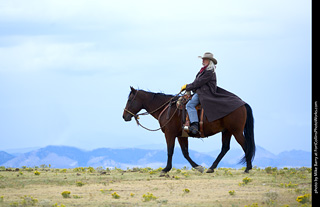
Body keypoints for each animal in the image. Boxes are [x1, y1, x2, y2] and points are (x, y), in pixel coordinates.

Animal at [122, 86, 255, 174]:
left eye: (129, 100)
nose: (124, 116)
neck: (167, 109)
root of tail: (242, 103)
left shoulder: (170, 134)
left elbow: (170, 151)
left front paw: (165, 169)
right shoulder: (181, 135)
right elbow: (185, 153)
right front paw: (198, 167)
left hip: (236, 131)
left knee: (245, 146)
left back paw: (247, 168)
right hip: (227, 131)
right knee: (225, 148)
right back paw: (211, 168)